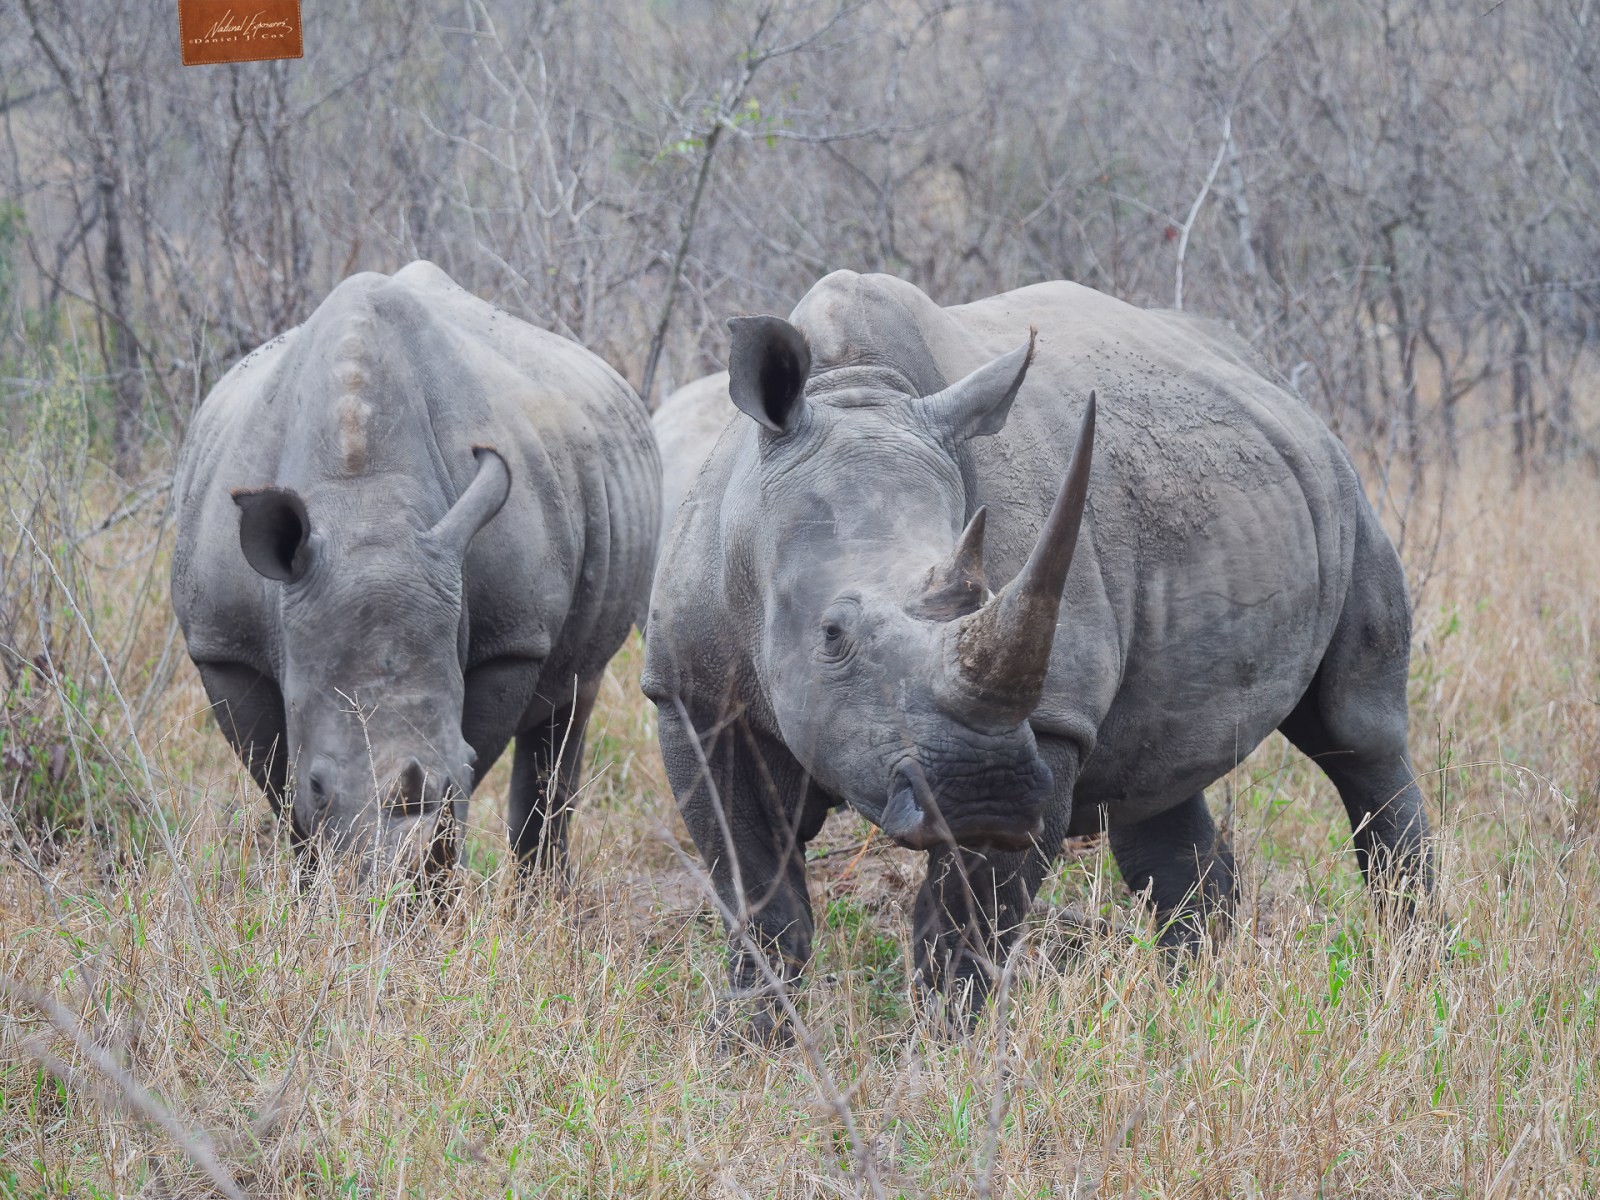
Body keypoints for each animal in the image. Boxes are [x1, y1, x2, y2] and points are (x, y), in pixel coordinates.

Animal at [172, 261, 660, 875]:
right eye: (318, 785)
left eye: (467, 765)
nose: (395, 886)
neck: (363, 503)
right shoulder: (223, 646)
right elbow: (280, 786)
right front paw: (314, 885)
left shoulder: (513, 638)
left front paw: (434, 893)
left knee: (573, 702)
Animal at [642, 270, 1433, 1028]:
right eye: (832, 635)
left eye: (984, 598)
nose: (982, 792)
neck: (854, 387)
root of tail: (1276, 383)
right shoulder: (695, 698)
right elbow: (759, 896)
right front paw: (751, 1040)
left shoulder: (1050, 720)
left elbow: (967, 920)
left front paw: (944, 1048)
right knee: (1156, 787)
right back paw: (1197, 1005)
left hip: (1348, 490)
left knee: (1355, 738)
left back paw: (1410, 967)